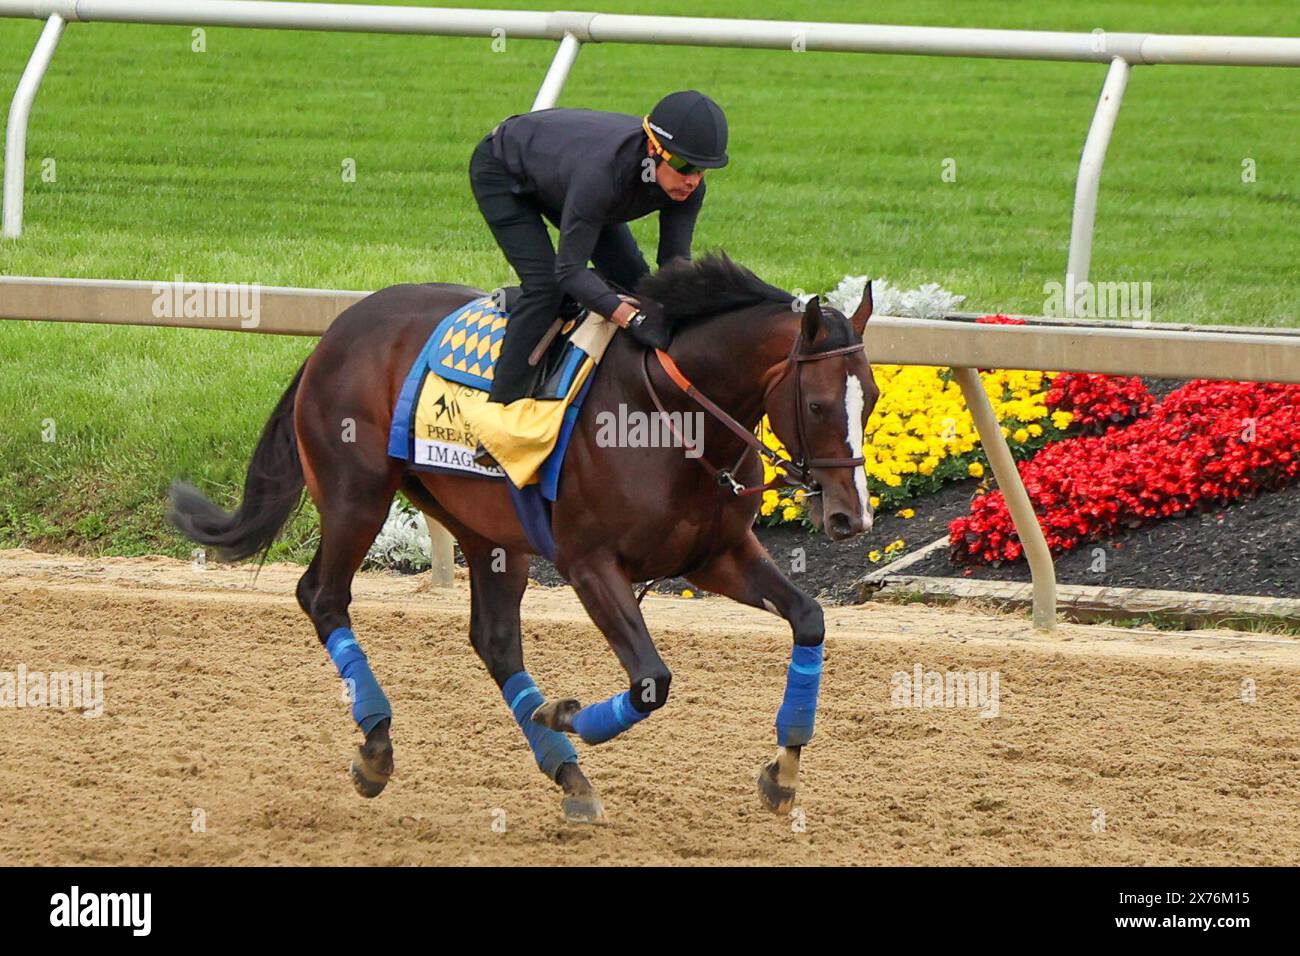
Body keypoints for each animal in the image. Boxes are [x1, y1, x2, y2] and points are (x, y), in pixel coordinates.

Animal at [170, 252, 873, 822]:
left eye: (867, 398)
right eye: (816, 405)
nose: (851, 517)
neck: (671, 417)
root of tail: (337, 330)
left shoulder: (715, 555)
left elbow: (809, 618)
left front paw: (783, 771)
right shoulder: (589, 563)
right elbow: (652, 679)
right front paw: (561, 712)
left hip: (486, 528)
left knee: (496, 641)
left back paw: (567, 772)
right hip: (354, 496)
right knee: (322, 596)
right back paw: (377, 746)